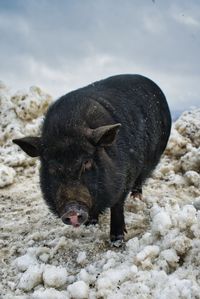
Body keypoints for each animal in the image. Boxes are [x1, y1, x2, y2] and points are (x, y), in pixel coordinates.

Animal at [13, 74, 171, 244]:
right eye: (52, 167)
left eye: (87, 162)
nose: (72, 210)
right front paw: (91, 224)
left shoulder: (125, 177)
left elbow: (117, 205)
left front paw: (117, 240)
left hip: (155, 155)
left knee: (141, 178)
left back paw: (136, 198)